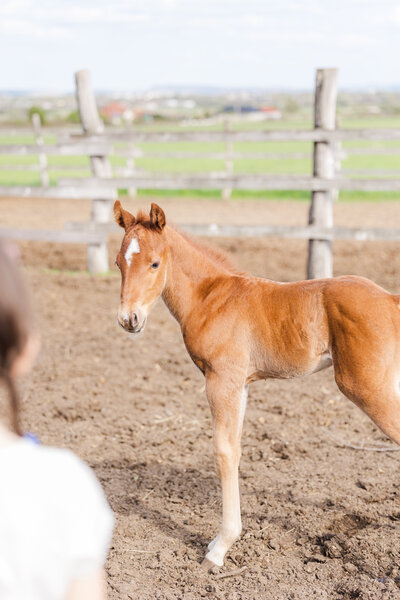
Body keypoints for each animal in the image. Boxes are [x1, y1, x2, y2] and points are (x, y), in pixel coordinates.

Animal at [112, 202, 400, 568]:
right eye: (119, 262)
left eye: (154, 263)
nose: (129, 319)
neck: (210, 297)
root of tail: (390, 299)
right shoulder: (242, 385)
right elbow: (235, 449)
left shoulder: (222, 381)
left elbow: (224, 451)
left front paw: (219, 548)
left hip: (367, 388)